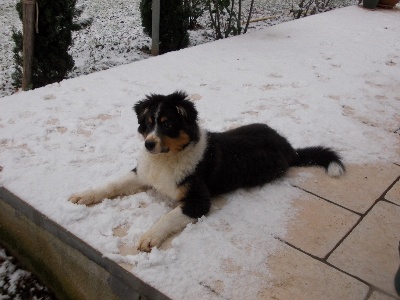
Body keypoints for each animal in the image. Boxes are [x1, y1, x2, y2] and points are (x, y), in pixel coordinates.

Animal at [69, 91, 344, 251]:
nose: (148, 144)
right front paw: (83, 196)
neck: (166, 160)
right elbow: (112, 184)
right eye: (147, 124)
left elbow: (168, 217)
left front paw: (150, 237)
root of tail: (290, 148)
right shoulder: (142, 172)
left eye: (167, 124)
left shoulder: (198, 201)